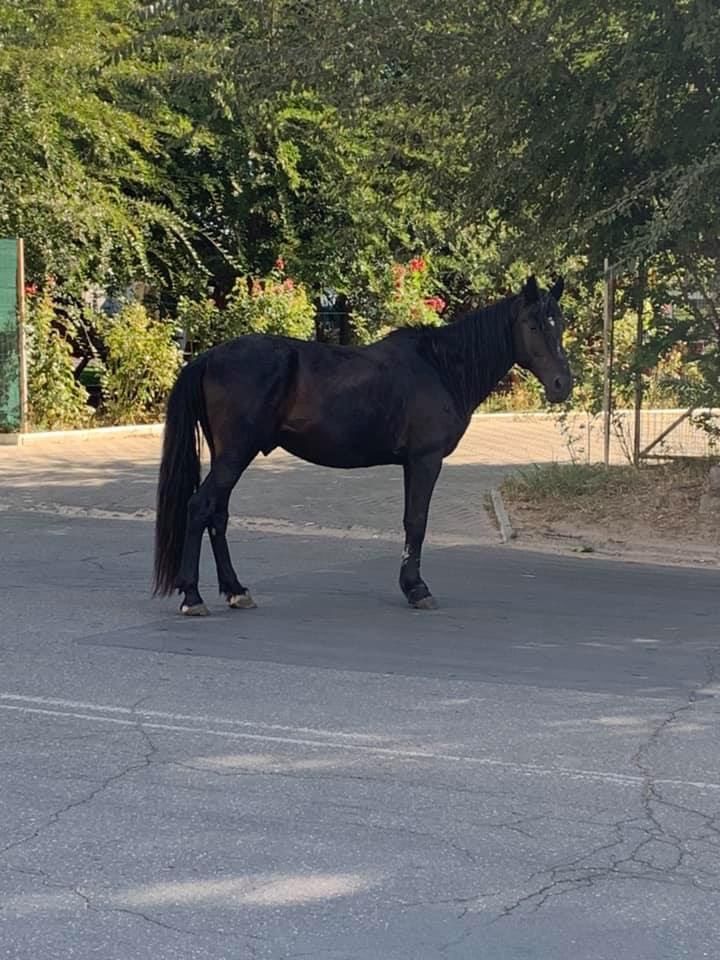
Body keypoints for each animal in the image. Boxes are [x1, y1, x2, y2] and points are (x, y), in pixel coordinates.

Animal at [153, 275, 572, 615]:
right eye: (532, 324)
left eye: (561, 323)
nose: (562, 385)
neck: (441, 368)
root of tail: (208, 357)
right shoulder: (425, 460)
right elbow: (416, 521)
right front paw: (416, 589)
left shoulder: (413, 463)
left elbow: (411, 521)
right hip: (235, 454)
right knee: (200, 508)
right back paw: (192, 597)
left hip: (230, 455)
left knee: (217, 515)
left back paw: (236, 590)